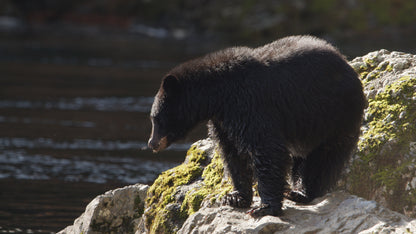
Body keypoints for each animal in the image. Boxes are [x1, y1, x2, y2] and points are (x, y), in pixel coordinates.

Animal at [148, 35, 366, 218]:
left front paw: (264, 207)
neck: (219, 95)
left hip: (334, 117)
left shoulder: (252, 106)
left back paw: (301, 192)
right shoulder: (222, 121)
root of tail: (347, 64)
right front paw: (234, 197)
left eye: (156, 118)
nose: (151, 143)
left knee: (323, 158)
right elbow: (232, 155)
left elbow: (266, 149)